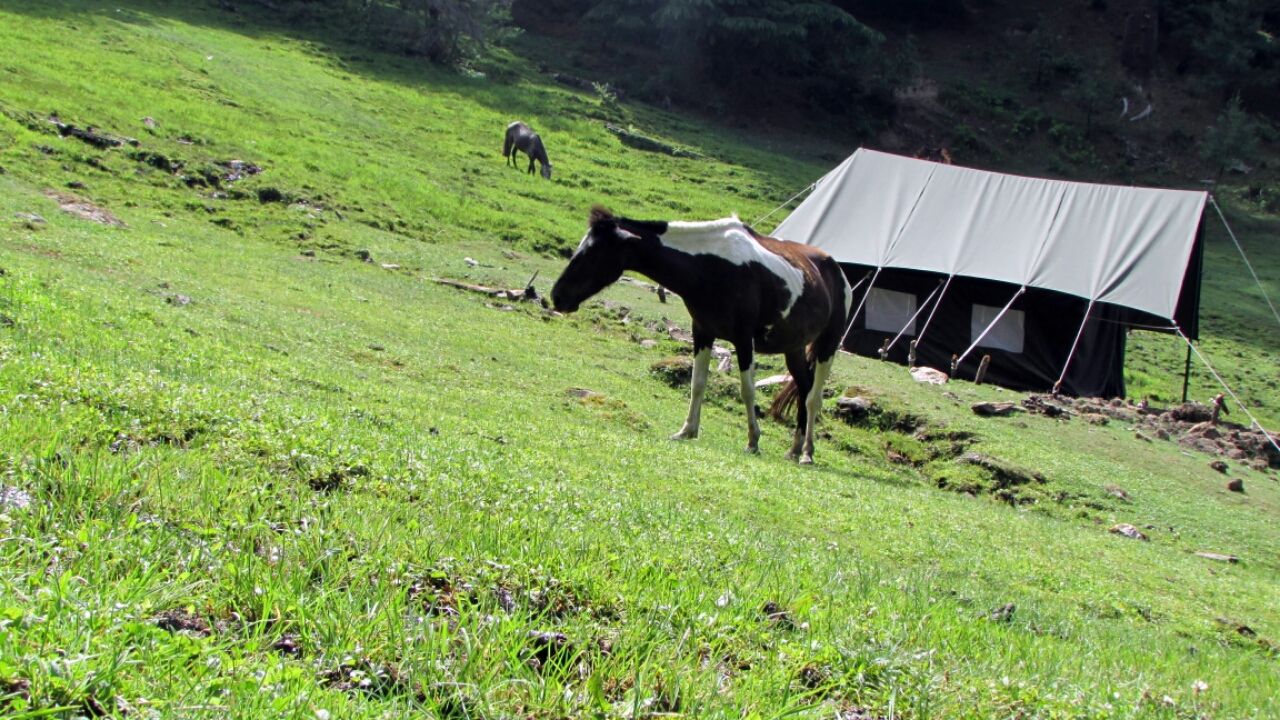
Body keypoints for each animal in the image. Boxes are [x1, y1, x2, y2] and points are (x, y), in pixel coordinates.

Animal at [550, 206, 849, 466]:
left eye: (592, 254)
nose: (557, 296)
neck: (709, 265)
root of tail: (836, 270)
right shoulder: (702, 332)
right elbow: (697, 383)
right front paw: (687, 431)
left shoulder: (743, 340)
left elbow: (747, 391)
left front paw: (753, 441)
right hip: (794, 348)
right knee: (804, 387)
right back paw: (795, 449)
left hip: (828, 346)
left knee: (813, 397)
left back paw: (807, 453)